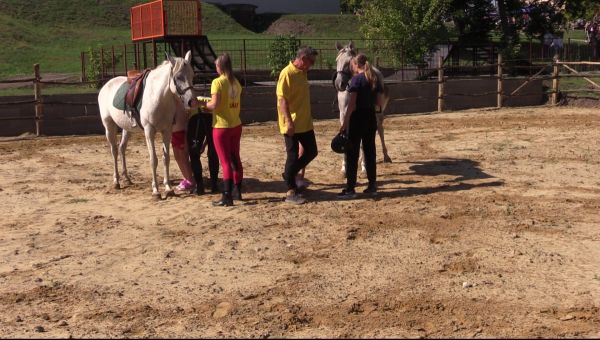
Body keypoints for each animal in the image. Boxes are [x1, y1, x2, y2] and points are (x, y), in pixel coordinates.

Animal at [98, 50, 197, 199]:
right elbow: (153, 160)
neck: (158, 97)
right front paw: (156, 190)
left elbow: (166, 158)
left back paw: (127, 178)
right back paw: (116, 181)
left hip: (127, 128)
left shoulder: (166, 131)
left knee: (121, 148)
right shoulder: (149, 131)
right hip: (109, 125)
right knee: (114, 150)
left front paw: (168, 188)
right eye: (178, 77)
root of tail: (105, 85)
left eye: (192, 75)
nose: (192, 101)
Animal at [332, 41, 394, 177]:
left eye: (349, 61)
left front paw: (364, 167)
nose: (339, 84)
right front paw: (344, 167)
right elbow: (345, 136)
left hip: (377, 115)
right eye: (337, 60)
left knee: (380, 131)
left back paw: (385, 156)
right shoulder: (344, 115)